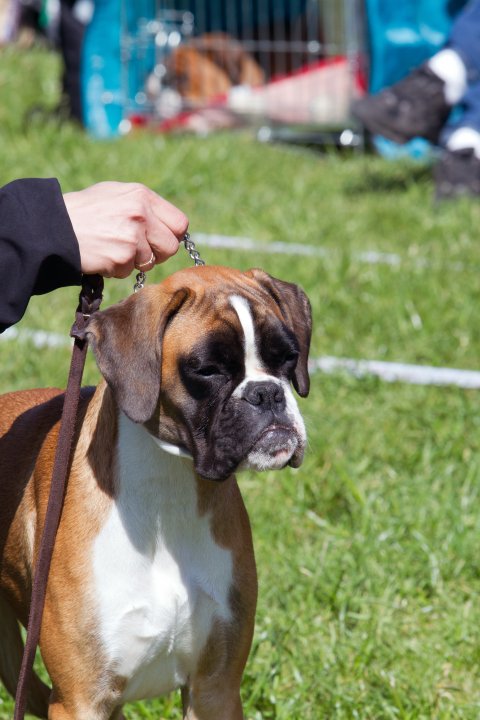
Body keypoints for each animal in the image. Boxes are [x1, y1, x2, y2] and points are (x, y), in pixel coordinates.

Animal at [0, 265, 311, 720]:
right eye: (208, 369)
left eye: (288, 357)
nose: (267, 393)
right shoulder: (81, 699)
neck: (168, 491)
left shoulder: (215, 690)